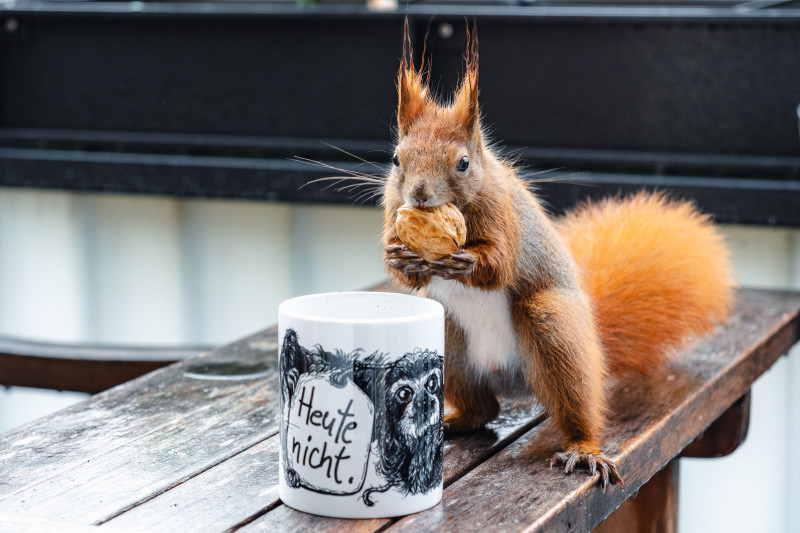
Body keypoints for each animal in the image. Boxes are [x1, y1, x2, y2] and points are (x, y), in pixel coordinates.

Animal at [382, 21, 732, 486]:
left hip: (551, 325)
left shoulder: (503, 213)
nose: (420, 194)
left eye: (462, 163)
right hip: (451, 341)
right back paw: (455, 421)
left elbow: (500, 264)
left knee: (574, 405)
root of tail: (511, 379)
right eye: (397, 159)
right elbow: (406, 268)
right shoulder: (393, 206)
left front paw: (468, 261)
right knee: (483, 410)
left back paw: (583, 449)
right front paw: (401, 259)